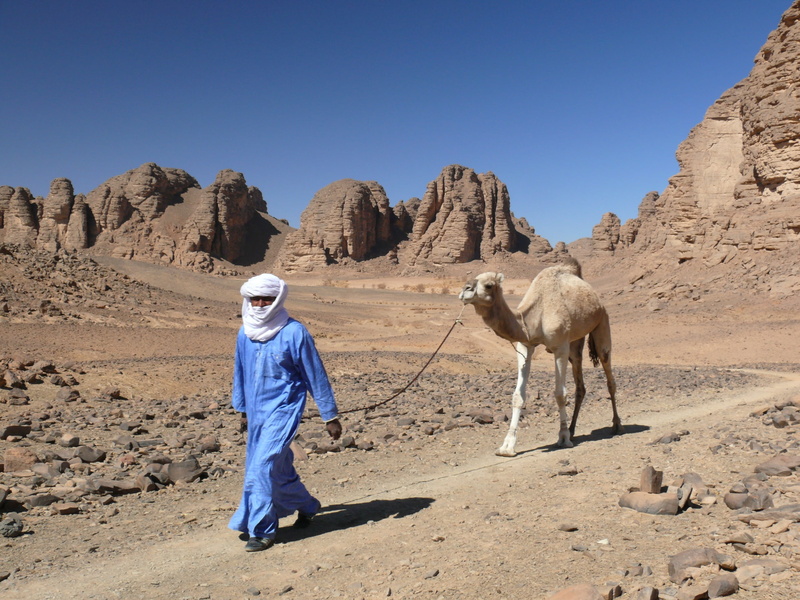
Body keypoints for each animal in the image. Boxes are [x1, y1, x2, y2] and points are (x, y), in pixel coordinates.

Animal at [459, 258, 622, 455]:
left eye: (489, 285)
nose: (465, 290)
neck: (533, 315)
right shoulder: (525, 345)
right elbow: (518, 396)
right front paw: (507, 446)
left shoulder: (560, 347)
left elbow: (559, 394)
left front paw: (563, 438)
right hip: (575, 342)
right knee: (580, 384)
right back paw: (573, 430)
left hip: (602, 322)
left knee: (608, 373)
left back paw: (616, 425)